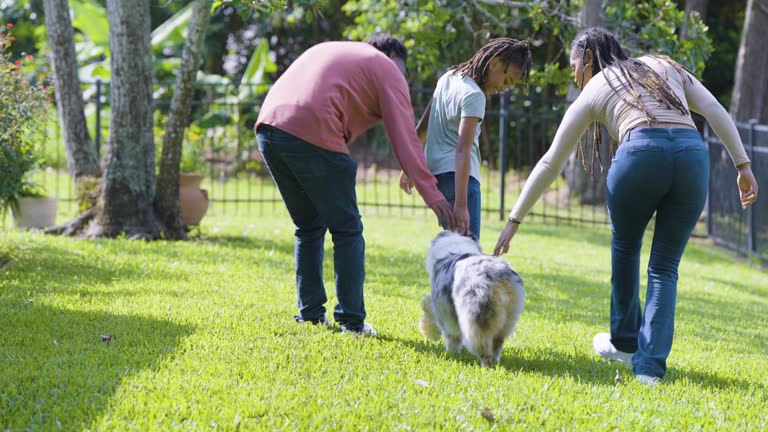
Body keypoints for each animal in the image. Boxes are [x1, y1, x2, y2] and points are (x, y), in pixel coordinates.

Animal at [420, 231, 520, 366]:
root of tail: (499, 277)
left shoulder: (444, 310)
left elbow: (452, 336)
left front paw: (450, 353)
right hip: (508, 319)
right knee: (497, 343)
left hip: (477, 318)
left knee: (483, 346)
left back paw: (486, 365)